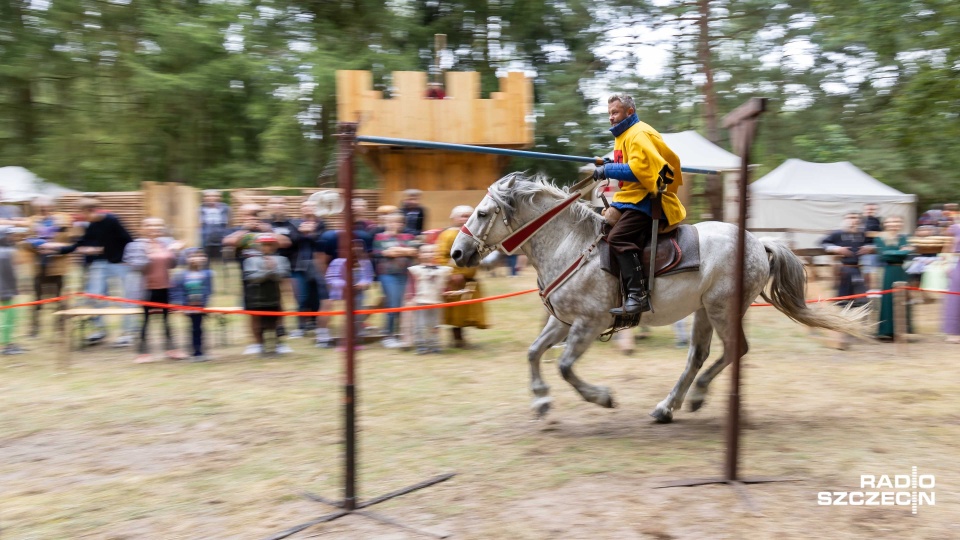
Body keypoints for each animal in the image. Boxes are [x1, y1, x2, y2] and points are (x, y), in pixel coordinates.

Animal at [452, 173, 872, 422]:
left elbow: (566, 367)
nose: (457, 253)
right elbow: (534, 353)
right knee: (698, 356)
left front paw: (601, 397)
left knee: (734, 350)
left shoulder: (588, 324)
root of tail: (758, 242)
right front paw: (540, 400)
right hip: (703, 311)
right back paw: (669, 406)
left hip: (722, 308)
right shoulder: (562, 321)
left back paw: (695, 397)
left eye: (483, 213)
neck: (569, 244)